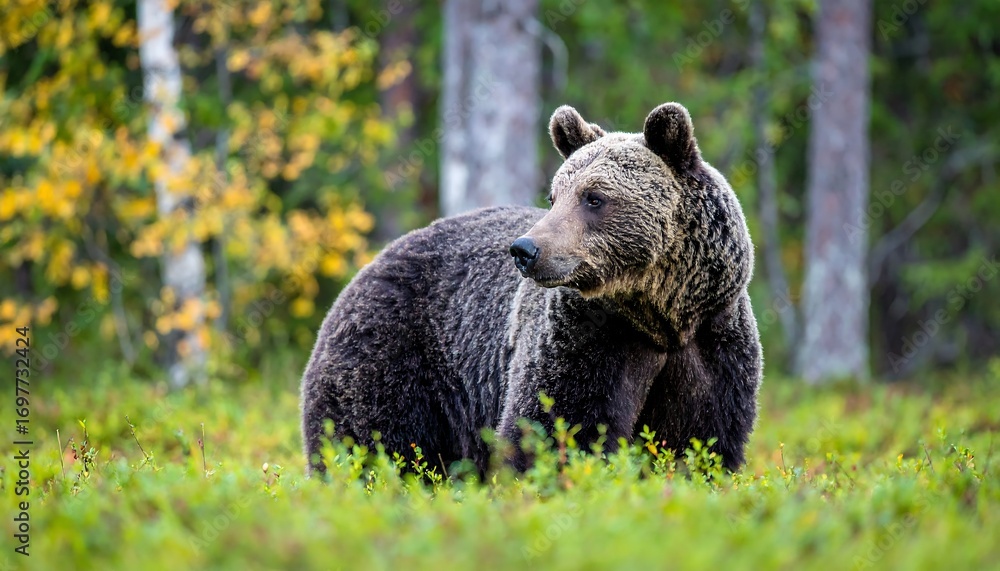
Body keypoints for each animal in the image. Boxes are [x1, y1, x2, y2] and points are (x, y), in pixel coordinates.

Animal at [300, 101, 762, 475]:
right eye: (555, 195)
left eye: (594, 197)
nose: (525, 249)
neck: (657, 316)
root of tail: (365, 270)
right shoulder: (585, 336)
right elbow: (557, 425)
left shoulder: (710, 343)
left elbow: (700, 440)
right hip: (393, 356)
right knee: (373, 441)